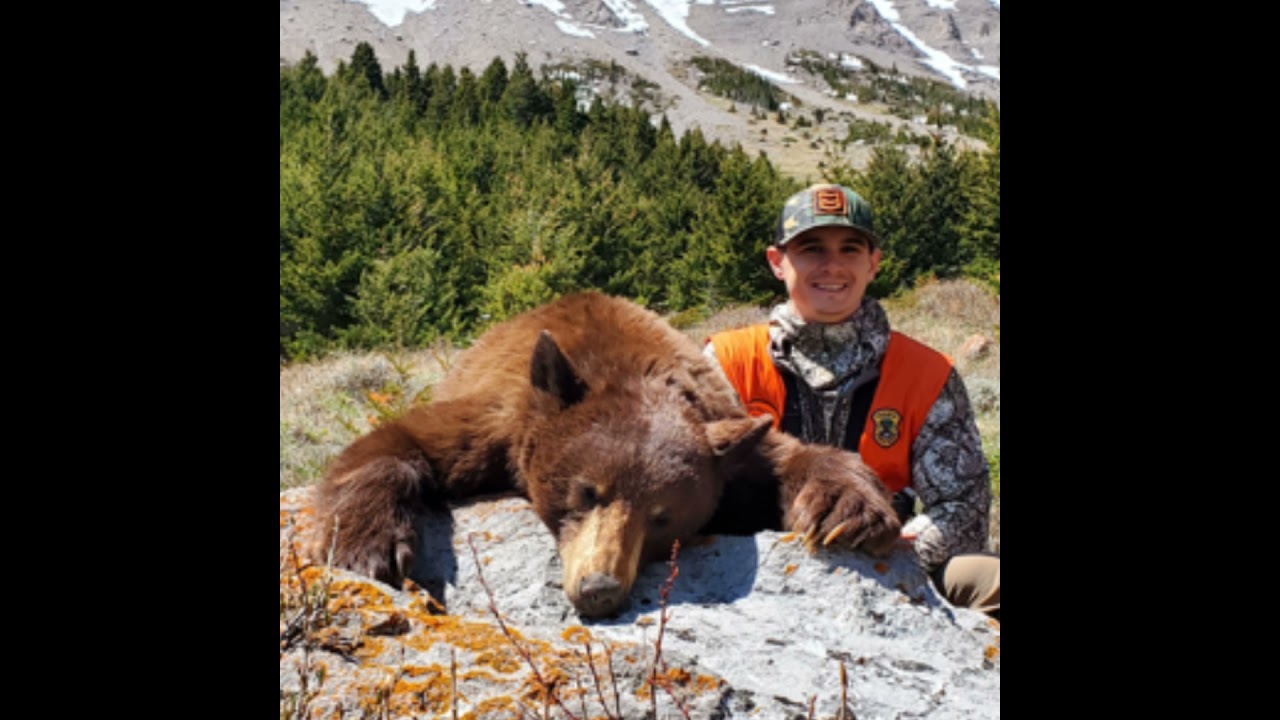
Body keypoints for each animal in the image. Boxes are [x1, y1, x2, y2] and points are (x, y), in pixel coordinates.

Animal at [309, 291, 900, 617]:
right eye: (586, 492)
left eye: (662, 517)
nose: (599, 589)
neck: (624, 363)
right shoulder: (503, 421)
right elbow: (402, 440)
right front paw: (366, 546)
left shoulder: (721, 431)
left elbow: (786, 456)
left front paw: (845, 509)